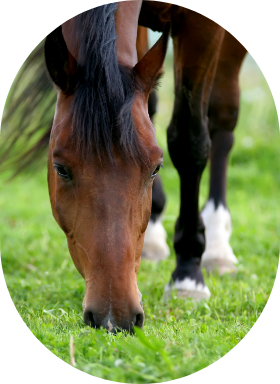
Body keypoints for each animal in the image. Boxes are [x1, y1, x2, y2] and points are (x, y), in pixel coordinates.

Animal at [2, 1, 247, 332]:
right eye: (61, 168)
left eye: (156, 168)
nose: (113, 316)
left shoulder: (202, 27)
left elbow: (189, 139)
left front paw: (187, 275)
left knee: (221, 115)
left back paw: (217, 243)